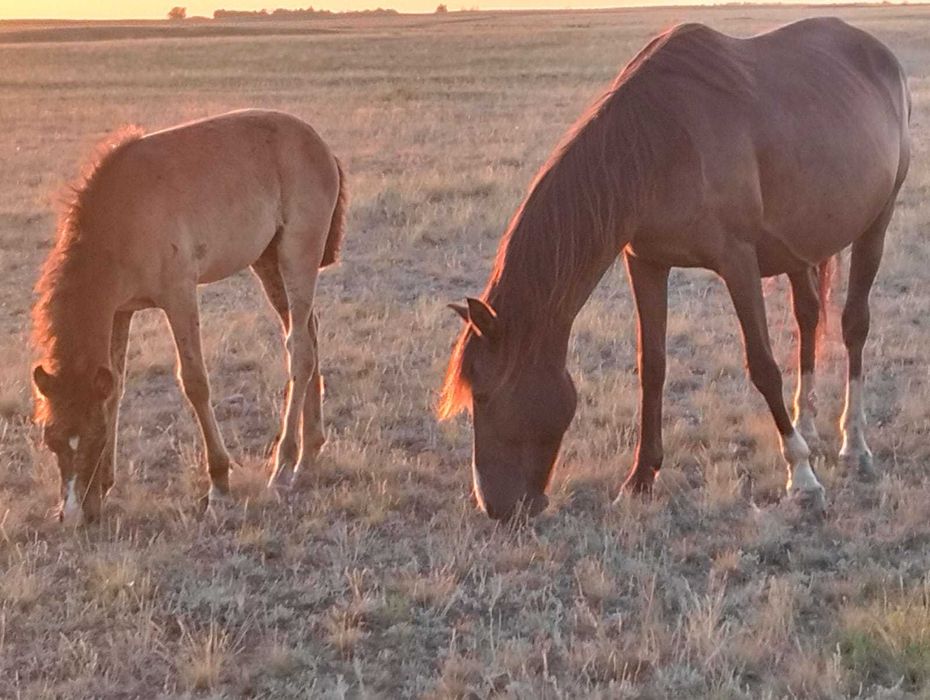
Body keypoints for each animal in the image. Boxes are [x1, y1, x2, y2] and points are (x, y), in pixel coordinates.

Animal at [31, 109, 347, 524]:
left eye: (93, 437)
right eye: (51, 439)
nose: (72, 515)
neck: (122, 215)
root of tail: (321, 146)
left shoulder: (178, 296)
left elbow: (195, 382)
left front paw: (220, 483)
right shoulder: (120, 311)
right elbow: (115, 387)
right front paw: (105, 487)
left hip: (297, 256)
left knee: (300, 351)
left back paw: (284, 465)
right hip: (268, 261)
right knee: (308, 333)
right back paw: (309, 454)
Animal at [439, 18, 911, 521]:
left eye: (483, 394)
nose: (494, 506)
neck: (657, 144)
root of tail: (879, 53)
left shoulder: (737, 261)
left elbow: (763, 367)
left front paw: (801, 478)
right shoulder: (645, 262)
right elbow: (653, 366)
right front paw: (640, 478)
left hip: (877, 223)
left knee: (853, 325)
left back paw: (853, 446)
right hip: (800, 246)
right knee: (807, 318)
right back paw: (809, 427)